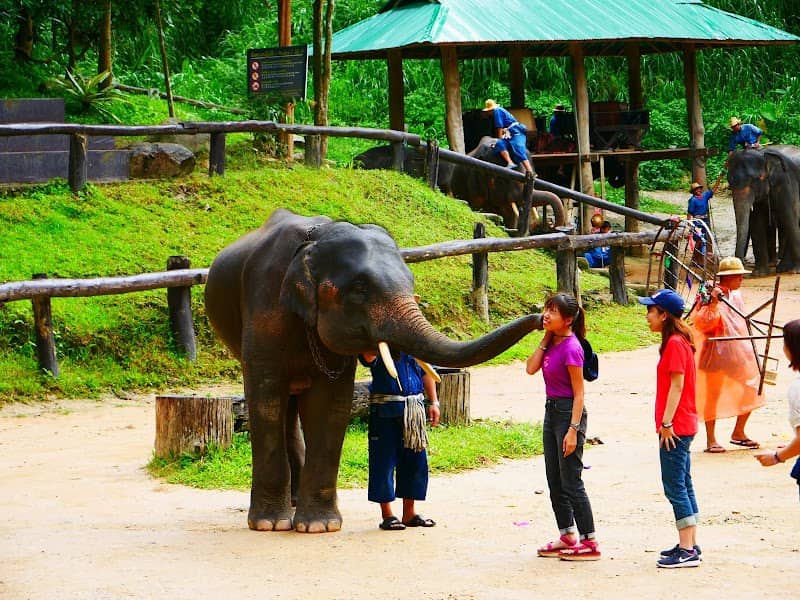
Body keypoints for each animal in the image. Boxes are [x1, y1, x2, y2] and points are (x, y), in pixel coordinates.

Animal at [204, 209, 543, 533]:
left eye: (411, 281)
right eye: (359, 289)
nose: (541, 317)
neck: (316, 240)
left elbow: (331, 405)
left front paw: (319, 526)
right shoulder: (266, 309)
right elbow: (266, 400)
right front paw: (270, 524)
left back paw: (297, 501)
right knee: (281, 405)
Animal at [727, 146, 800, 276]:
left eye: (757, 179)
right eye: (729, 182)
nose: (741, 267)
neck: (763, 153)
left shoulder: (787, 182)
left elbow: (790, 217)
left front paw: (797, 271)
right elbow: (757, 222)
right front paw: (759, 274)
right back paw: (782, 268)